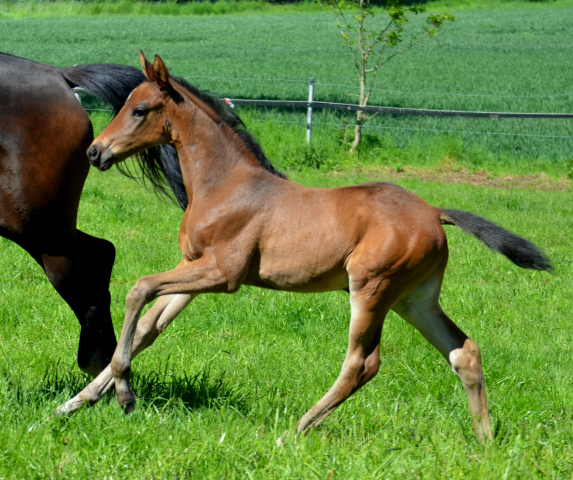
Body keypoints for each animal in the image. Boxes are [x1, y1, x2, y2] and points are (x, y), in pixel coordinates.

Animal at [58, 52, 548, 442]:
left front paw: (124, 395)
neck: (225, 185)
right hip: (415, 299)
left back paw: (297, 428)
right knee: (464, 351)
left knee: (362, 363)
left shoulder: (223, 273)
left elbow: (138, 289)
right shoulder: (193, 268)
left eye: (139, 109)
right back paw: (485, 441)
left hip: (371, 289)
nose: (95, 152)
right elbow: (147, 328)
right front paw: (75, 403)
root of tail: (433, 211)